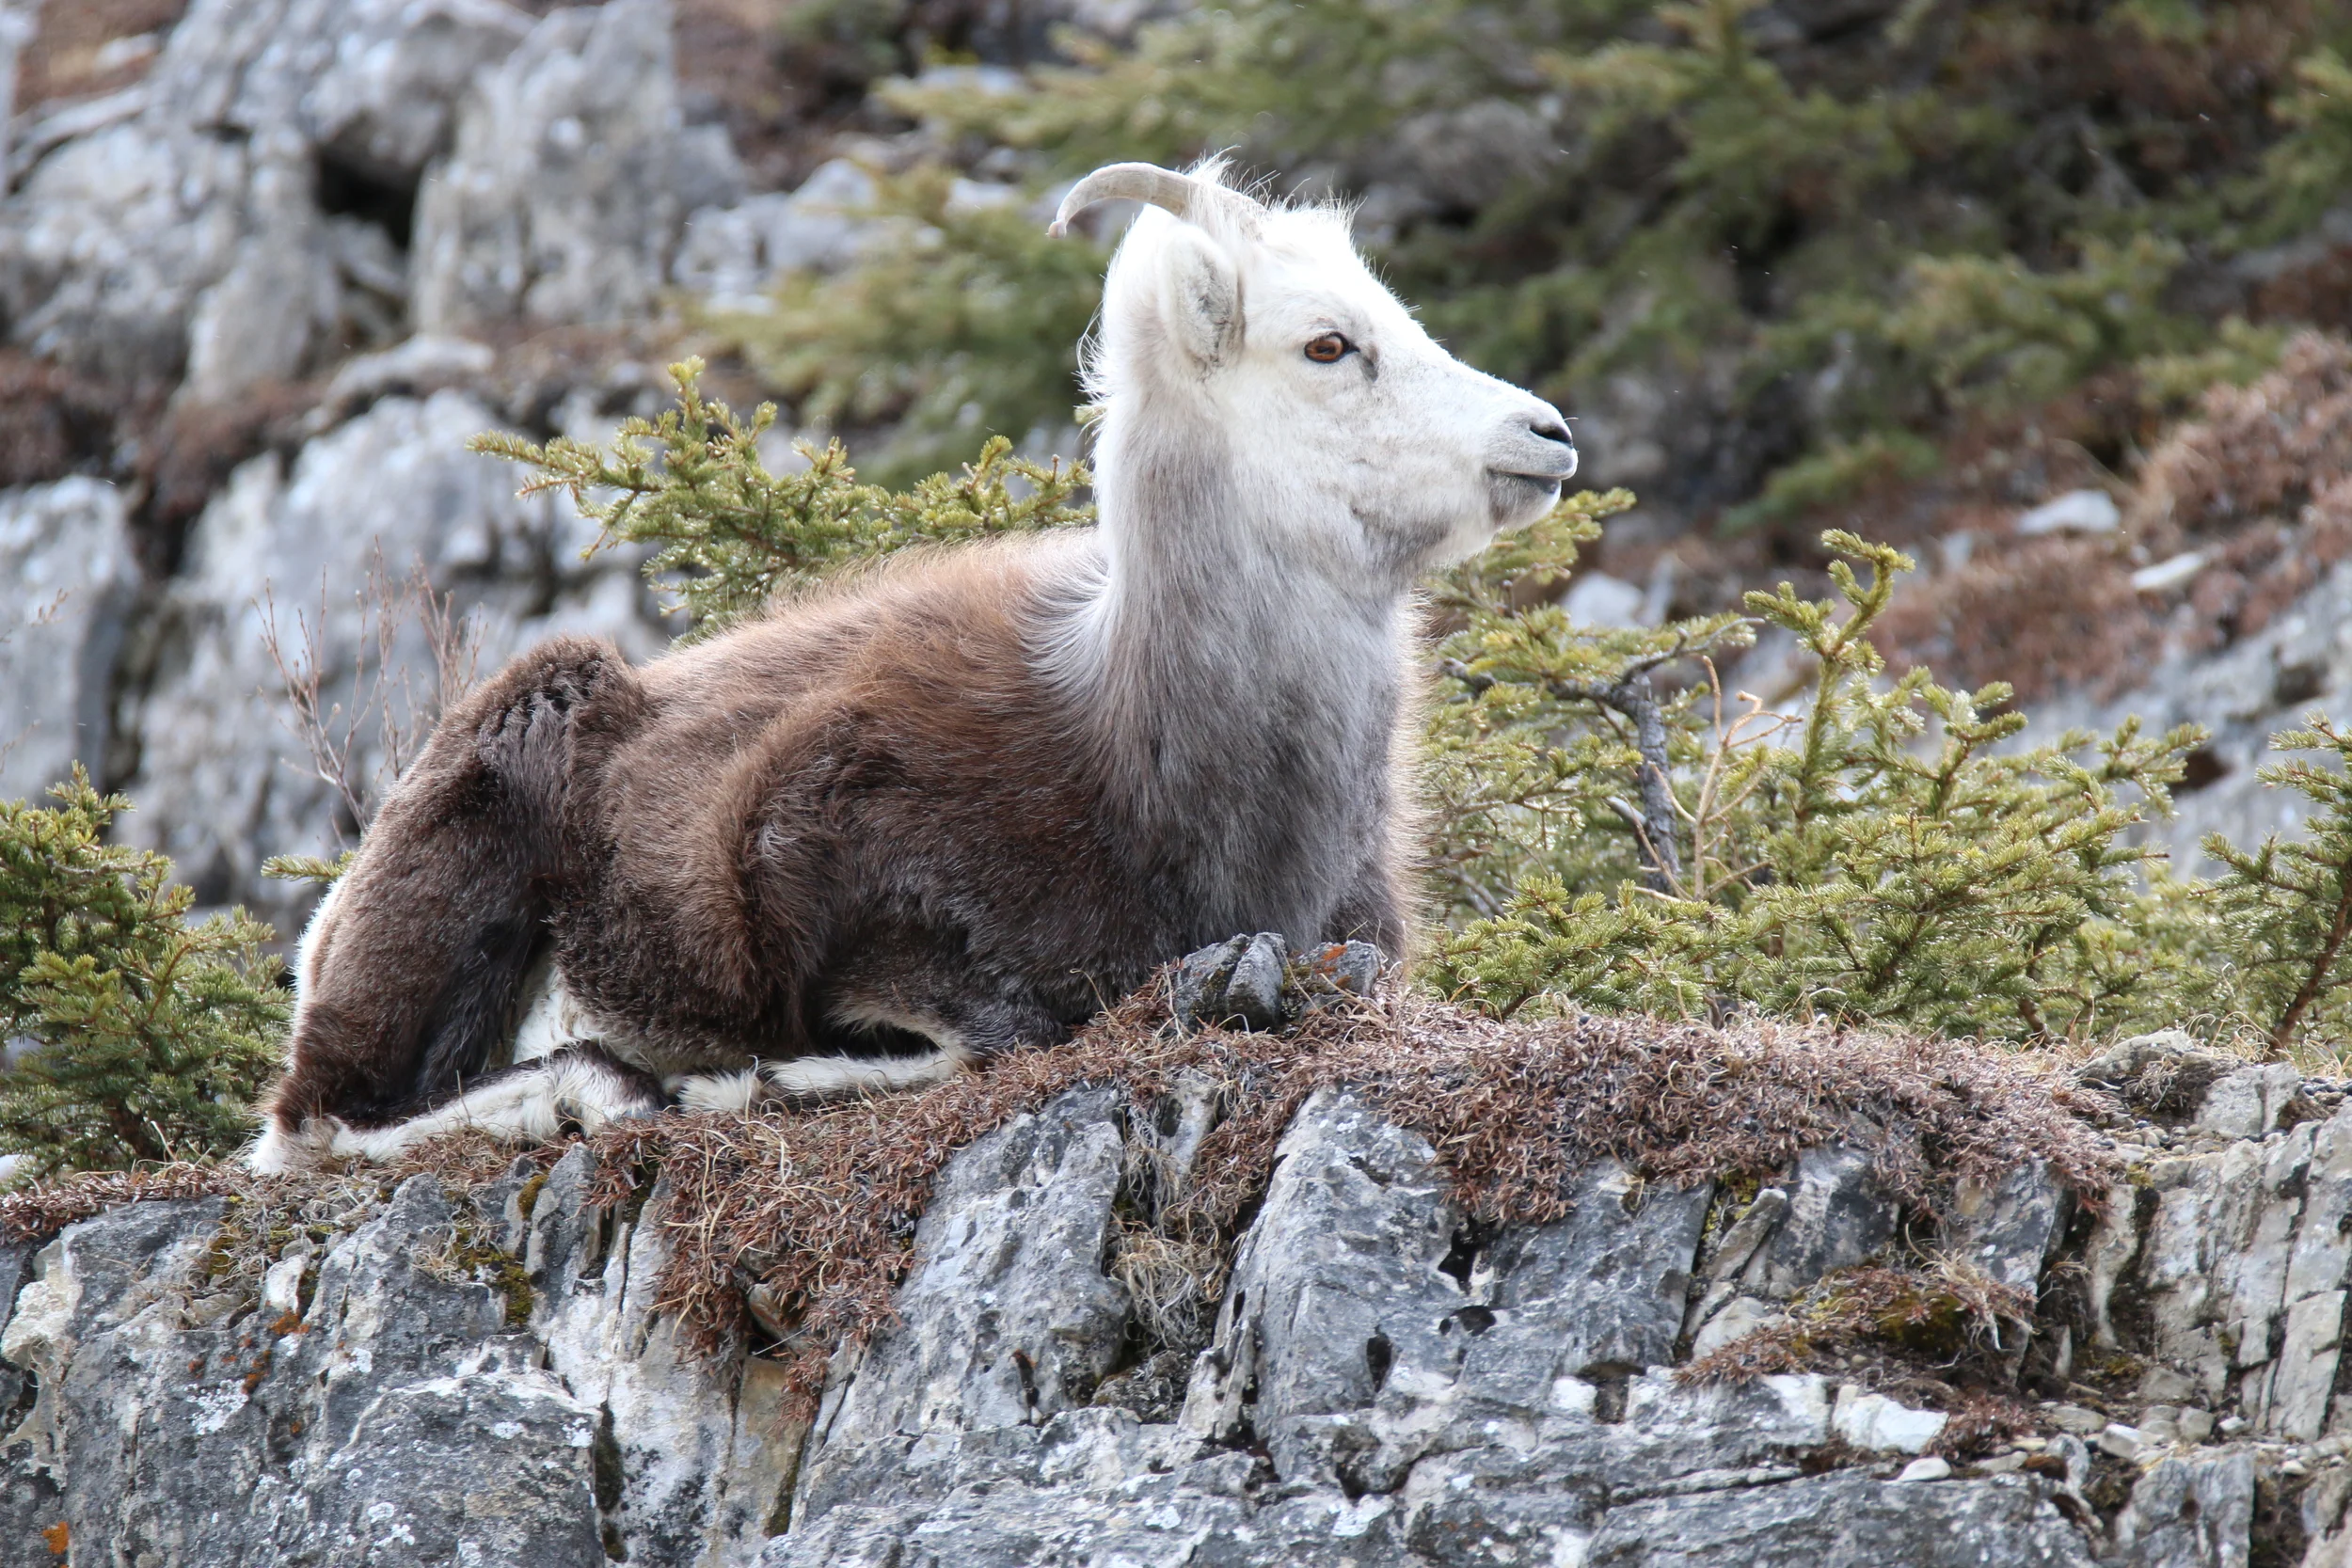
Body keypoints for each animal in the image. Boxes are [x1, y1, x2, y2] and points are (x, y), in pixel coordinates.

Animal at [246, 160, 1577, 1172]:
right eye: (1327, 344)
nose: (1546, 435)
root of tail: (324, 929)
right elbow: (993, 1040)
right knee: (321, 1125)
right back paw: (600, 1086)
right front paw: (741, 1084)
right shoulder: (873, 912)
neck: (1141, 762)